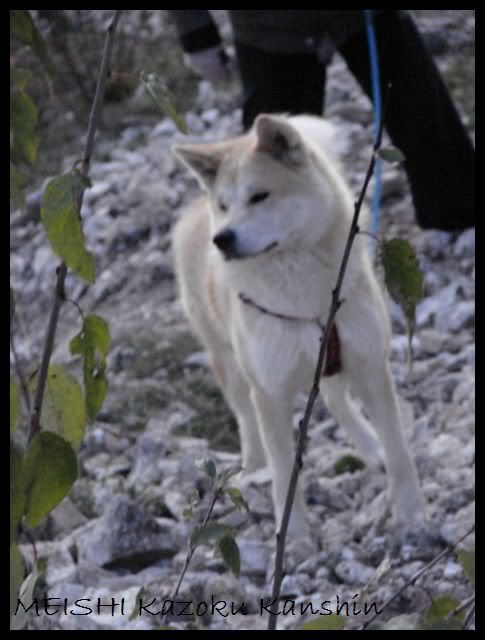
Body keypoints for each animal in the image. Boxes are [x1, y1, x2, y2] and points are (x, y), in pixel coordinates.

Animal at [172, 114, 425, 534]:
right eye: (224, 206)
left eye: (259, 196)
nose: (222, 238)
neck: (307, 299)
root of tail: (192, 211)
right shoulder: (269, 393)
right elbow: (283, 472)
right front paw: (296, 537)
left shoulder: (370, 366)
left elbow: (399, 449)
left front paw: (410, 512)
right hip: (230, 364)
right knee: (245, 418)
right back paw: (252, 467)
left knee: (337, 401)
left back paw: (369, 447)